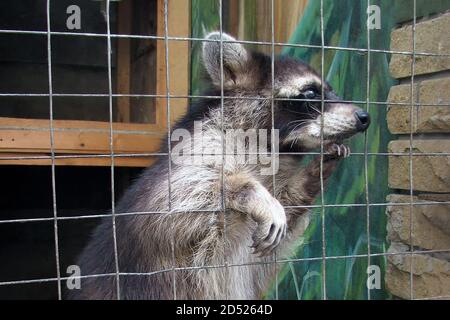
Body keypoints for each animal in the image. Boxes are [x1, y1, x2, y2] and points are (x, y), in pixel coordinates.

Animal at [69, 32, 370, 300]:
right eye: (310, 92)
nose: (364, 116)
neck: (270, 149)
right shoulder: (194, 153)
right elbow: (176, 202)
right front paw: (246, 190)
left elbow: (285, 216)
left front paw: (316, 171)